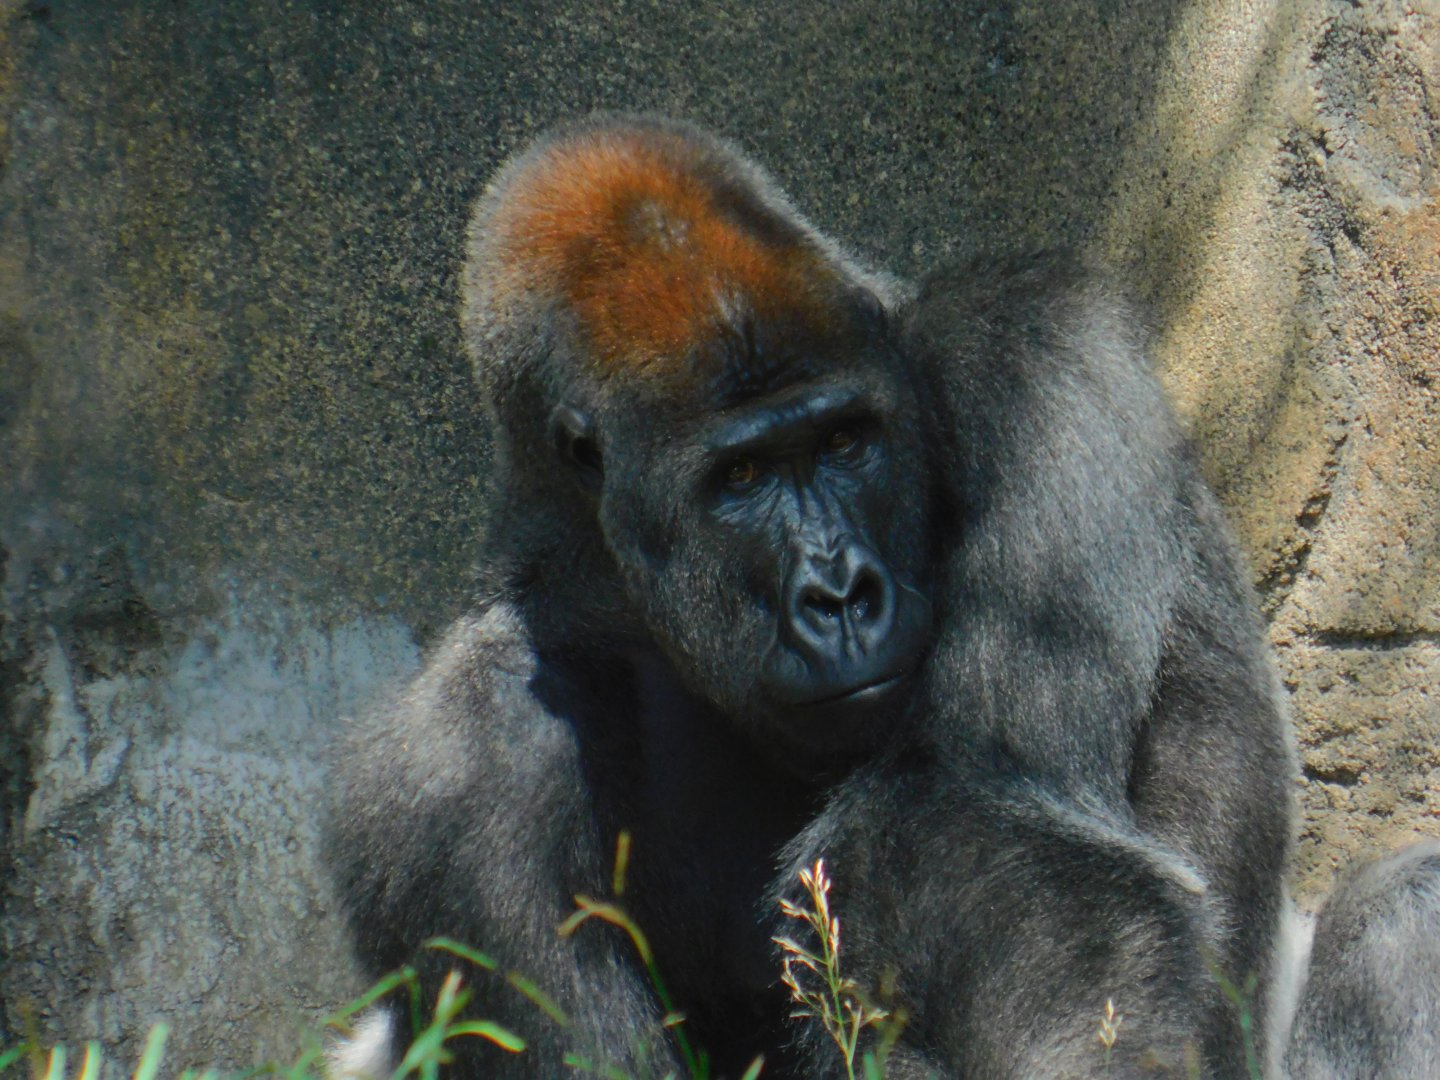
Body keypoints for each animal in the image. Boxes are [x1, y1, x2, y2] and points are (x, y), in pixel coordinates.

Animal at [326, 114, 1434, 1078]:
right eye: (740, 480)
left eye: (844, 442)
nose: (842, 595)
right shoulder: (447, 778)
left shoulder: (1029, 355)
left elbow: (988, 819)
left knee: (1399, 910)